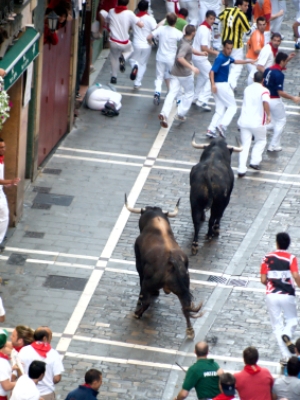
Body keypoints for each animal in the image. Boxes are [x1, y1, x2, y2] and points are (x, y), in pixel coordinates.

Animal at [124, 195, 204, 340]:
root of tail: (172, 261)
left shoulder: (139, 261)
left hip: (148, 283)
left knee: (147, 300)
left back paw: (137, 313)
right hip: (183, 289)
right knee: (185, 306)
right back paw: (190, 330)